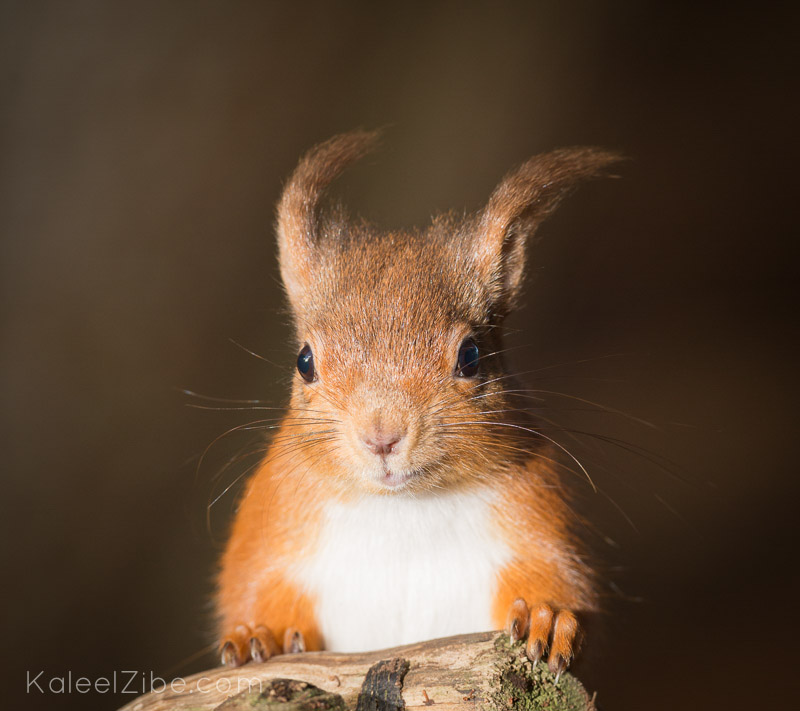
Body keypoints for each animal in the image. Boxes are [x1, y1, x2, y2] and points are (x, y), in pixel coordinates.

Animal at [217, 131, 620, 680]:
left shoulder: (537, 514)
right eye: (305, 361)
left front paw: (548, 616)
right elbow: (250, 588)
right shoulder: (272, 520)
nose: (381, 436)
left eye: (471, 356)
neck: (403, 510)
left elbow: (565, 585)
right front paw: (262, 633)